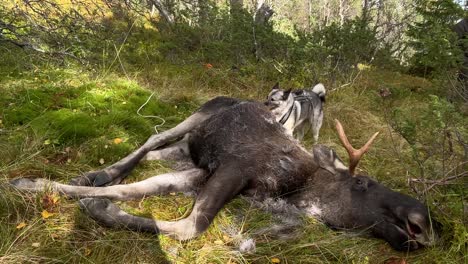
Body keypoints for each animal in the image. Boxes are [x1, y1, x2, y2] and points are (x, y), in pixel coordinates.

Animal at [11, 96, 438, 251]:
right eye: (364, 182)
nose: (428, 222)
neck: (295, 188)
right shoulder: (234, 169)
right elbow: (191, 227)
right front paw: (28, 183)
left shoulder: (204, 174)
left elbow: (139, 191)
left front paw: (95, 203)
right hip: (198, 115)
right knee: (153, 137)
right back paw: (97, 173)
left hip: (190, 149)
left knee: (156, 155)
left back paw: (93, 178)